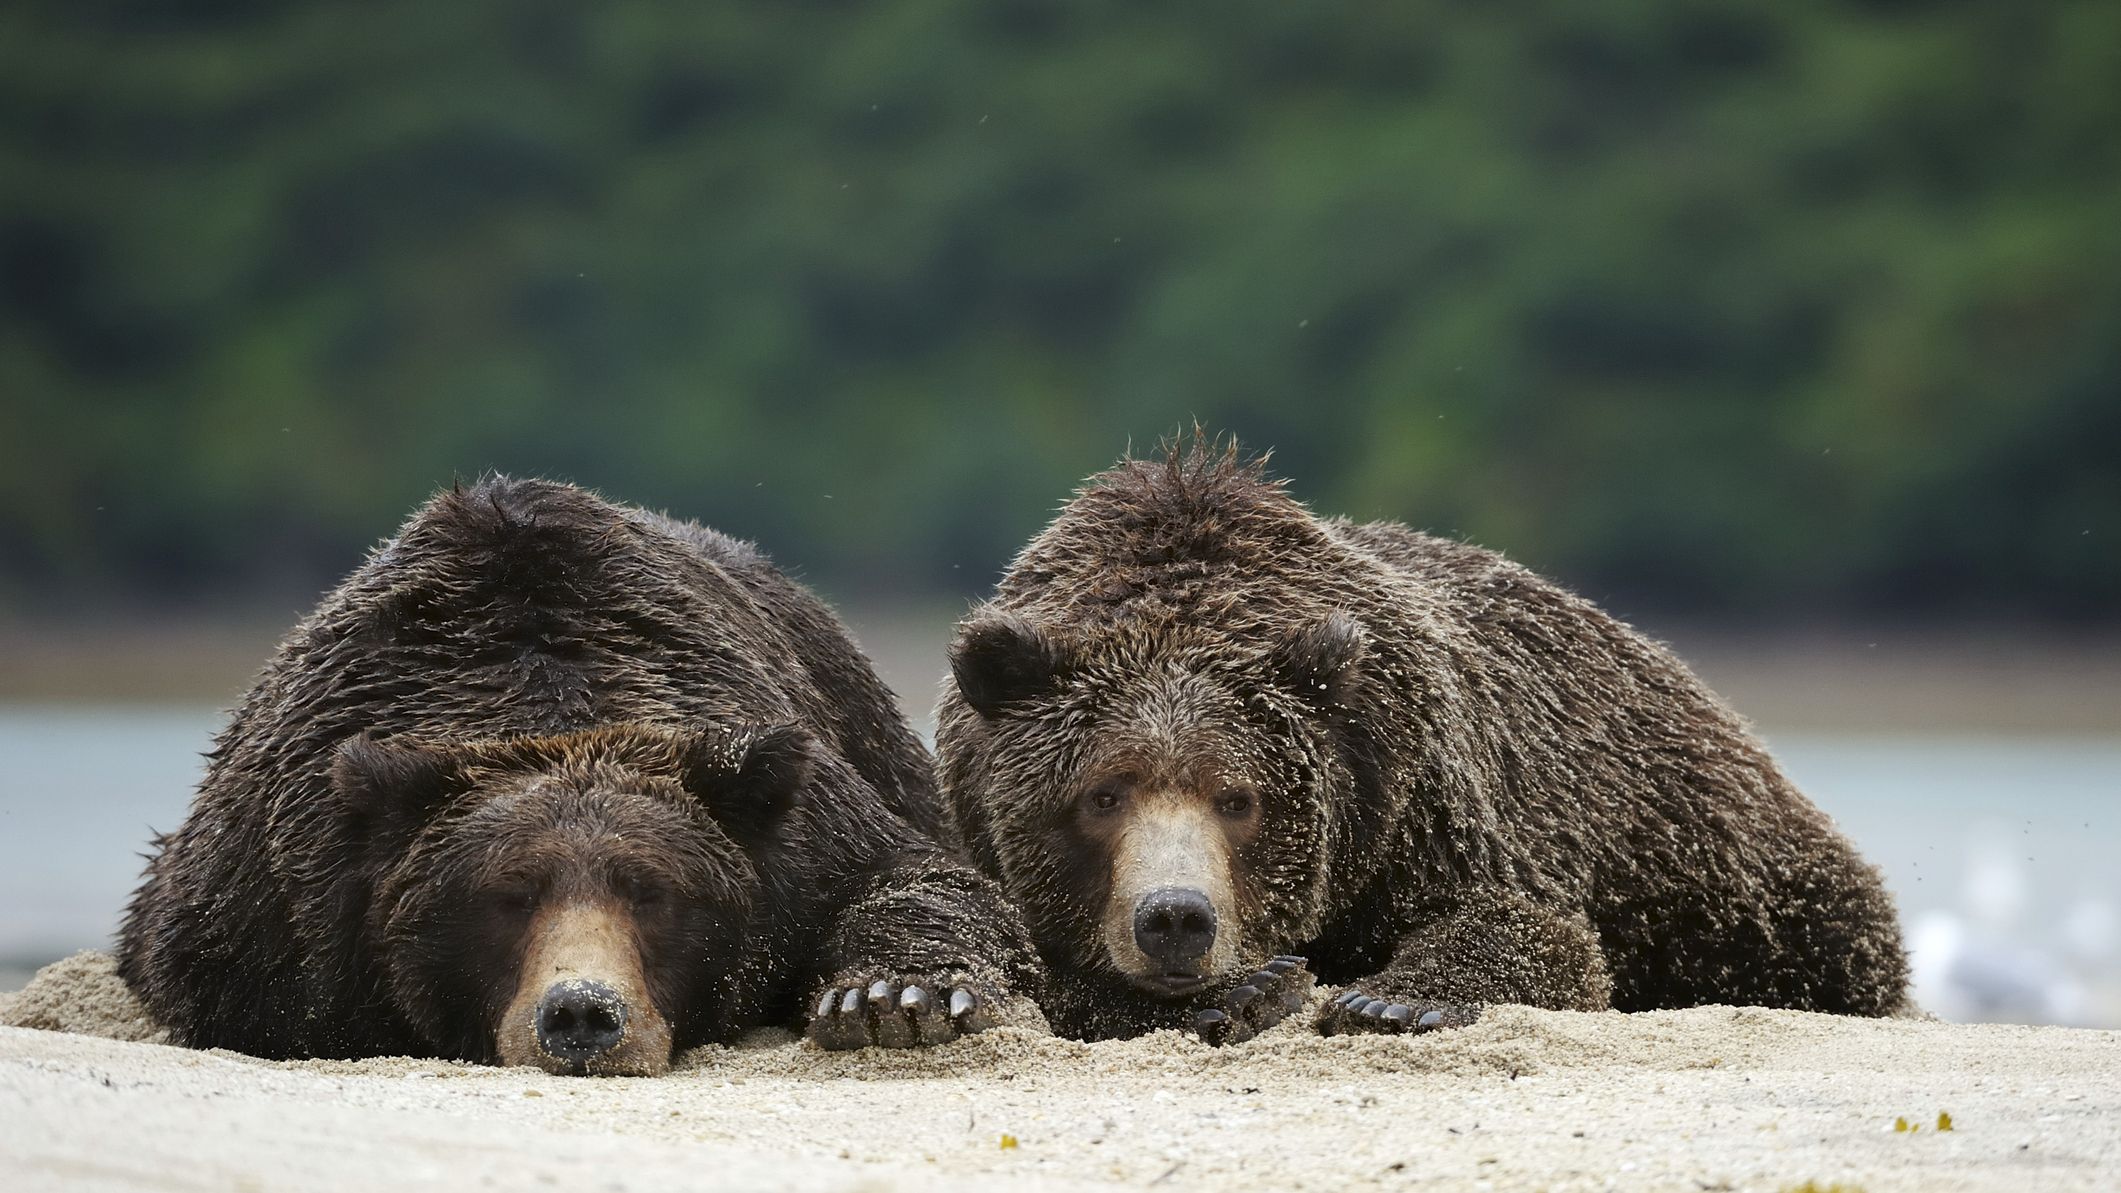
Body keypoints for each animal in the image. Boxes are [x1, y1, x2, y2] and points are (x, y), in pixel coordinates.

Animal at [118, 476, 1042, 1073]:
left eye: (653, 890)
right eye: (506, 893)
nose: (581, 1014)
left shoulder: (797, 822)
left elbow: (914, 877)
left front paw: (891, 1000)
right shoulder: (282, 889)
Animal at [934, 436, 1909, 1044]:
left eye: (1238, 797)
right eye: (1102, 793)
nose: (1176, 917)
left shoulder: (1410, 795)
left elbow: (1532, 928)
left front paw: (1391, 1000)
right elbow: (1022, 958)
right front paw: (1247, 991)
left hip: (1725, 874)